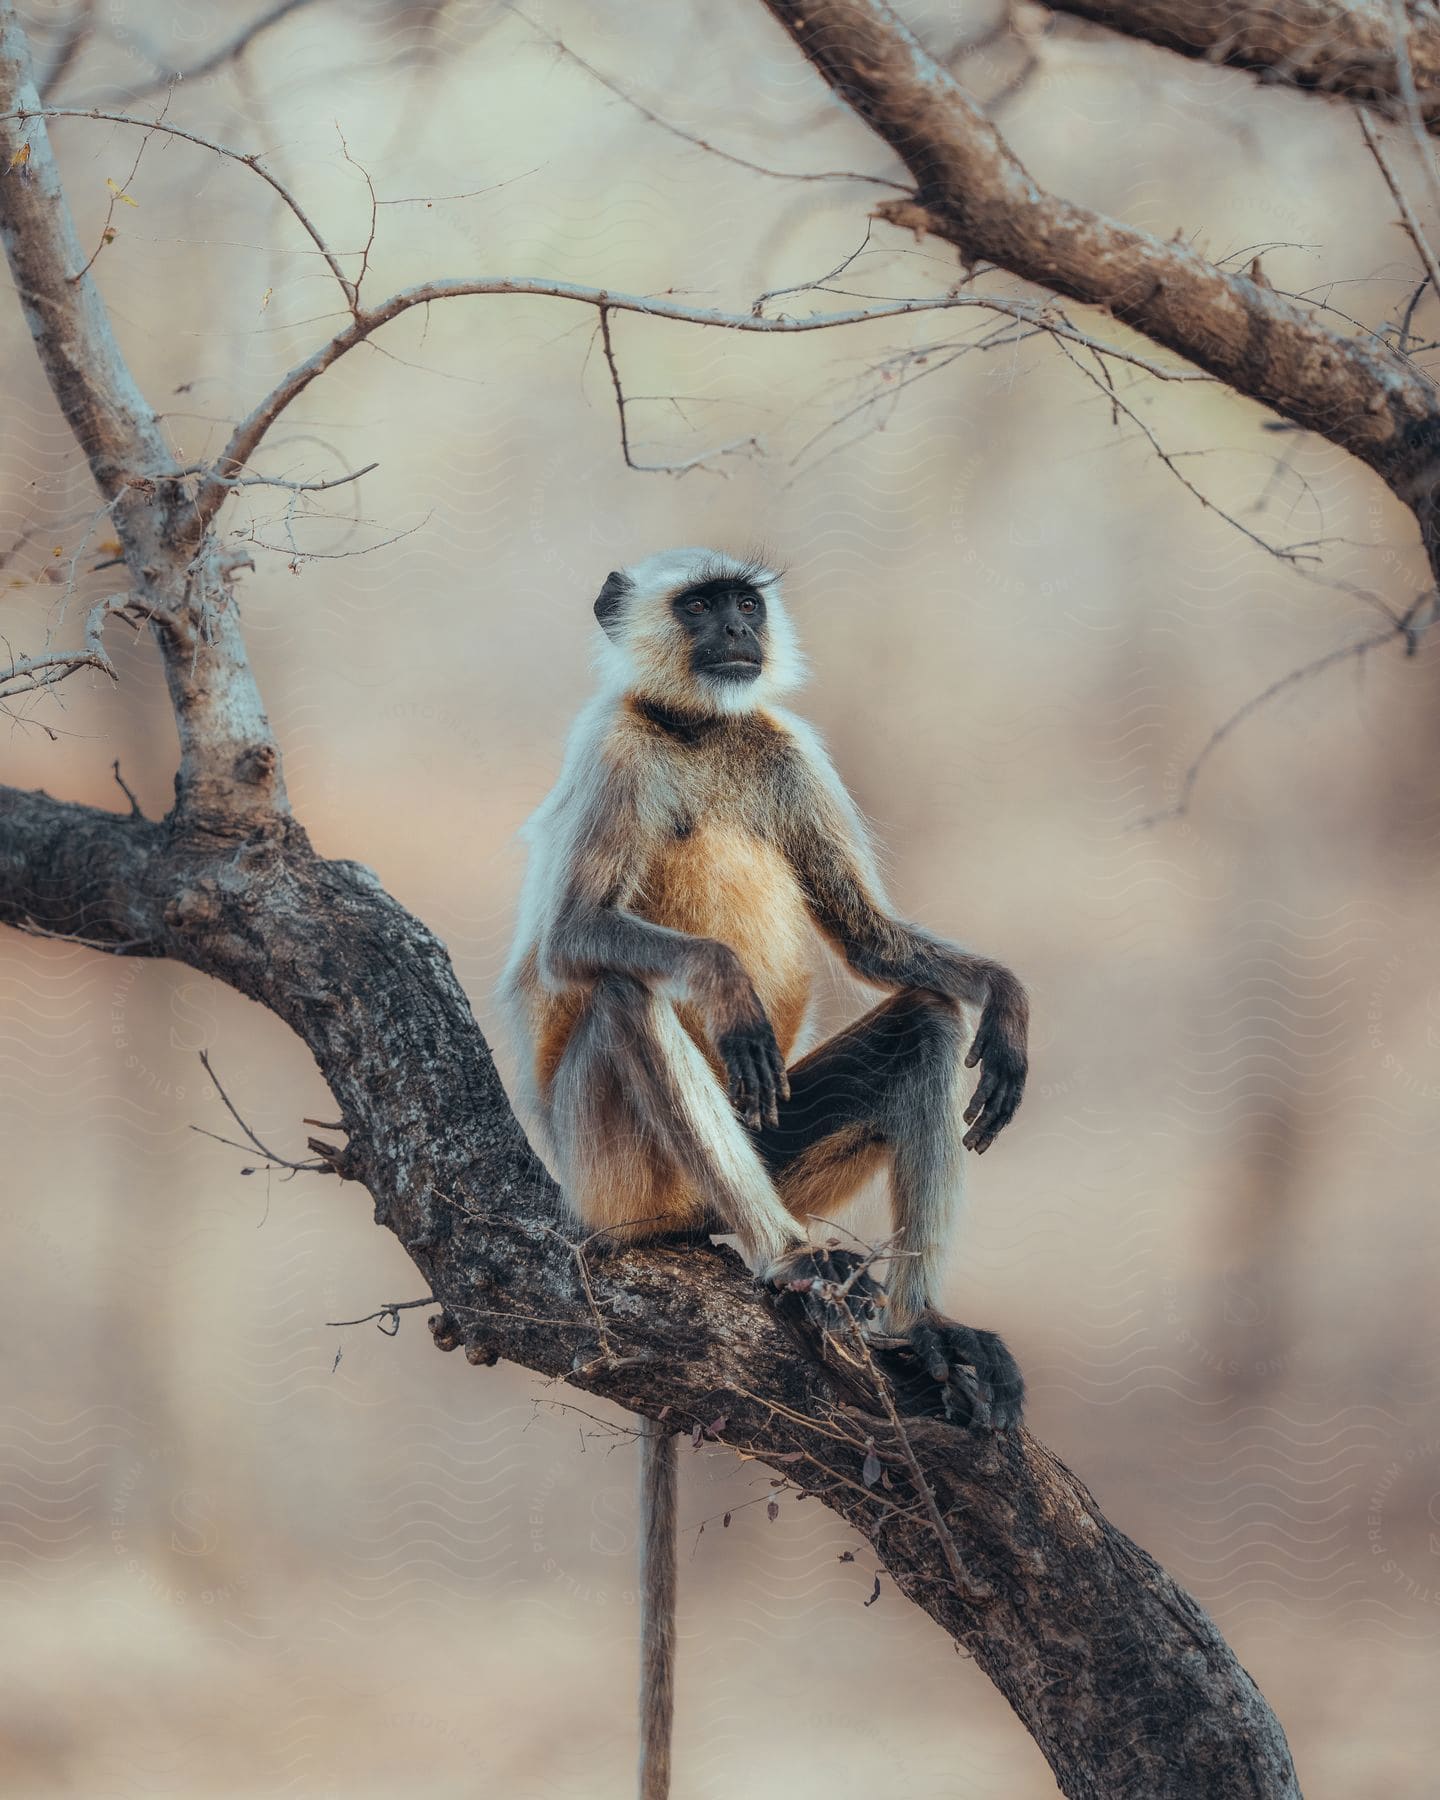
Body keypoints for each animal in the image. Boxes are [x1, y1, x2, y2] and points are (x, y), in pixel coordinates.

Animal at [500, 547, 1029, 1800]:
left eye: (745, 603)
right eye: (701, 607)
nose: (739, 631)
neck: (695, 729)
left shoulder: (779, 744)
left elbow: (878, 944)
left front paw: (1006, 999)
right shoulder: (613, 747)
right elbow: (576, 941)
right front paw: (725, 978)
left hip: (780, 1150)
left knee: (924, 1021)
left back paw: (920, 1330)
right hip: (612, 1171)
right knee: (623, 993)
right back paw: (785, 1265)